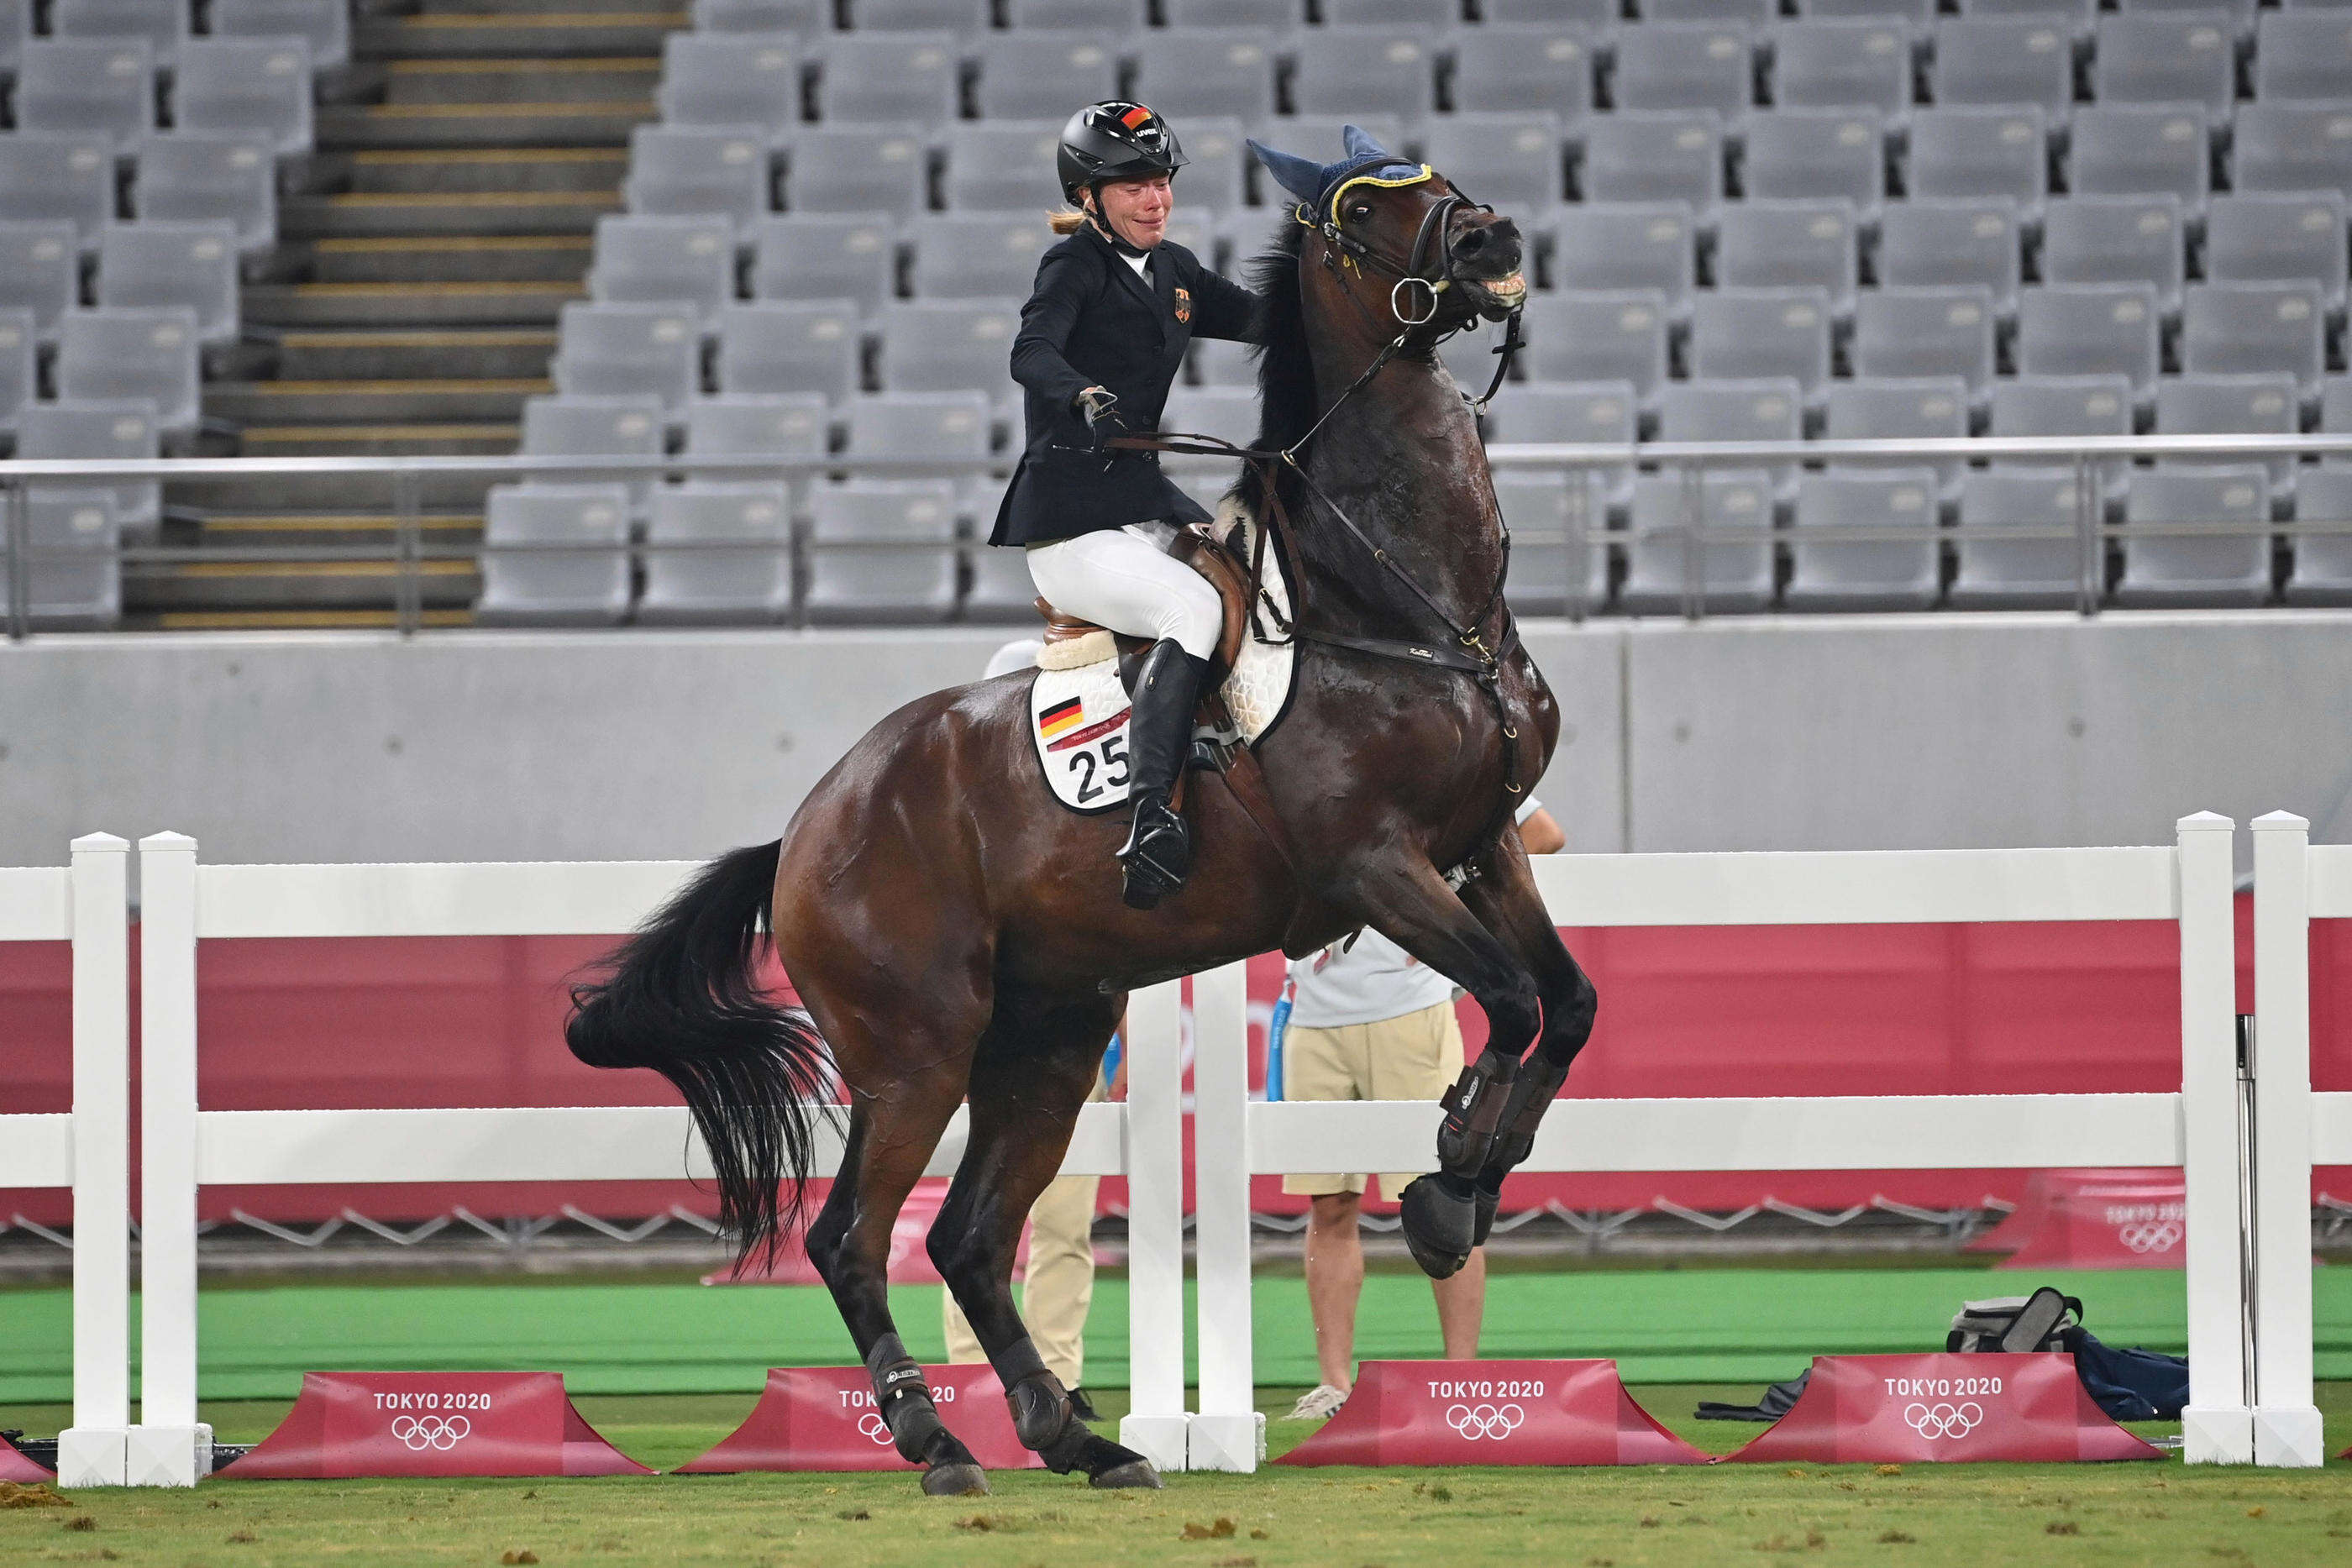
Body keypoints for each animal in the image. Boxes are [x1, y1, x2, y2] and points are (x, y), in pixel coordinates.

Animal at [564, 152, 1599, 1504]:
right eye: (1358, 210)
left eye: (1435, 177)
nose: (1493, 244)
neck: (1407, 603)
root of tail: (807, 825)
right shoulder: (1376, 864)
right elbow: (1513, 1000)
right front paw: (1445, 1182)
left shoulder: (1484, 846)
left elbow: (1566, 1003)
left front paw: (1474, 1174)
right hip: (915, 1053)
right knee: (854, 1237)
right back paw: (938, 1441)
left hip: (1046, 1041)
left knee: (966, 1236)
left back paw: (1078, 1436)